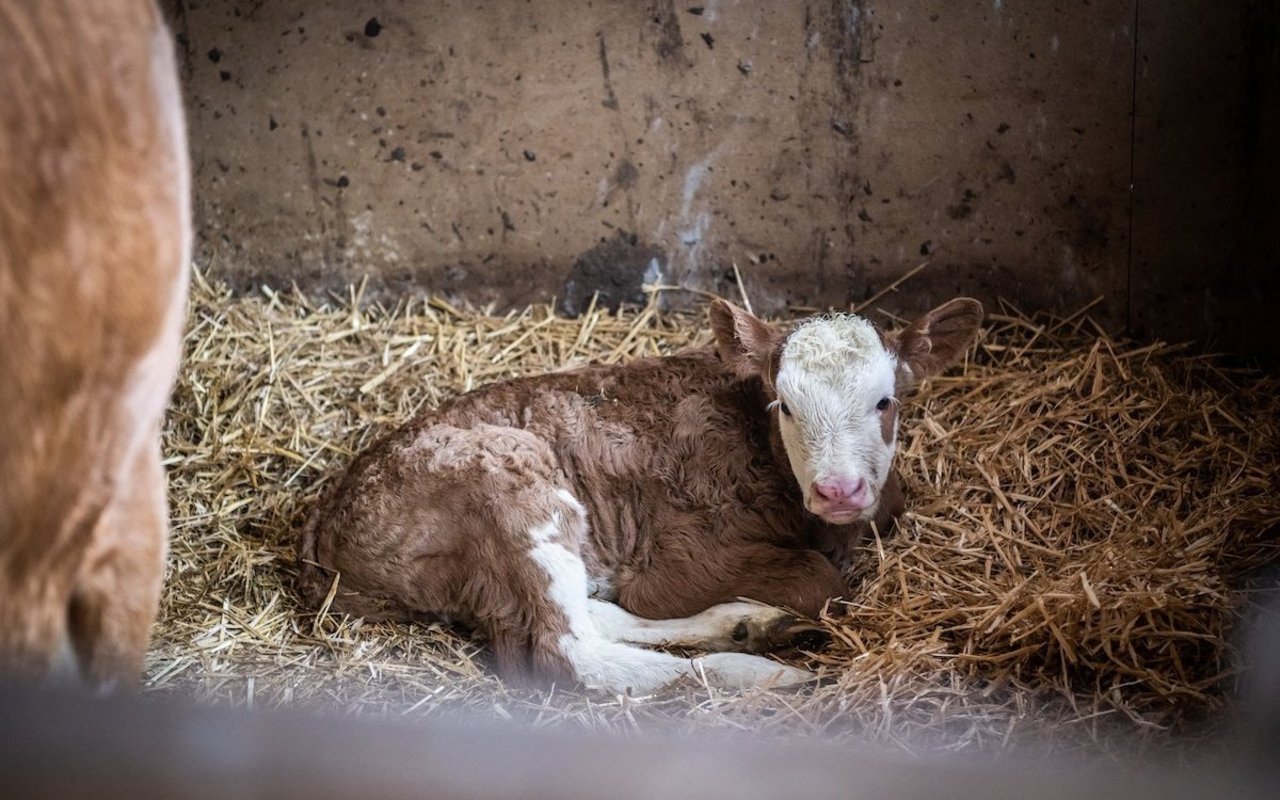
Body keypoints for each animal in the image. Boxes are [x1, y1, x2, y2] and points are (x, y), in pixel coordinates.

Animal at [299, 296, 977, 691]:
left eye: (886, 401)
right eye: (783, 405)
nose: (838, 489)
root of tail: (324, 527)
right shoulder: (679, 559)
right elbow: (822, 581)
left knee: (588, 617)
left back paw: (747, 625)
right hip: (510, 483)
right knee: (563, 649)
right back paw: (752, 673)